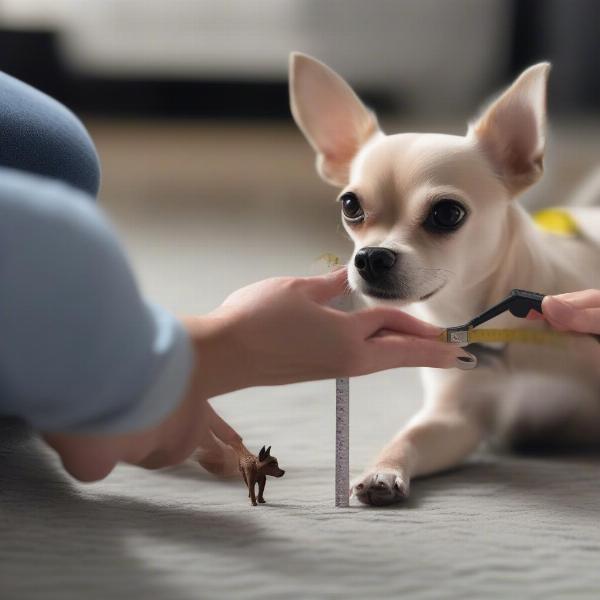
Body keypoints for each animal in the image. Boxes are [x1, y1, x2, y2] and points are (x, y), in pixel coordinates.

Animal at [290, 52, 600, 506]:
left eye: (447, 213)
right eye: (350, 206)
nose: (371, 257)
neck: (496, 333)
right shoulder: (456, 420)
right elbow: (409, 437)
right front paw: (382, 472)